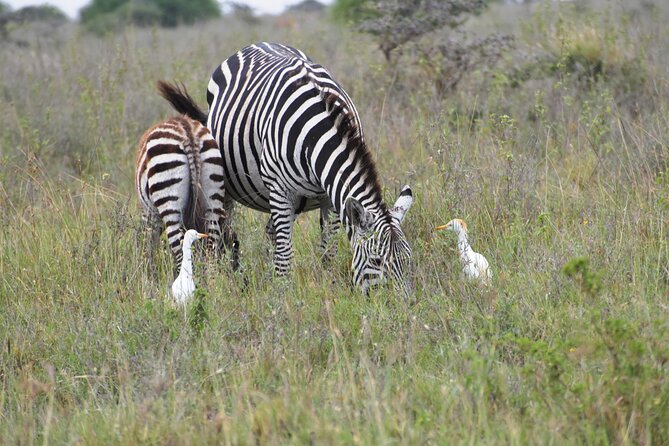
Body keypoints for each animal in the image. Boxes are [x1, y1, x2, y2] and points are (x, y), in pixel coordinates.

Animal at [133, 113, 235, 274]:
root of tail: (188, 132)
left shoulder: (149, 213)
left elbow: (148, 242)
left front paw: (149, 272)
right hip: (213, 196)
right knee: (211, 249)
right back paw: (211, 280)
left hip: (168, 197)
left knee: (181, 251)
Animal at [159, 41, 414, 296]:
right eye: (377, 261)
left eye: (409, 259)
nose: (402, 304)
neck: (316, 134)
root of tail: (259, 43)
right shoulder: (282, 191)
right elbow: (285, 255)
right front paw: (282, 296)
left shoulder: (330, 196)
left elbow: (328, 249)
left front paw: (328, 287)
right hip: (228, 185)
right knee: (225, 231)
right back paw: (230, 276)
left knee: (268, 234)